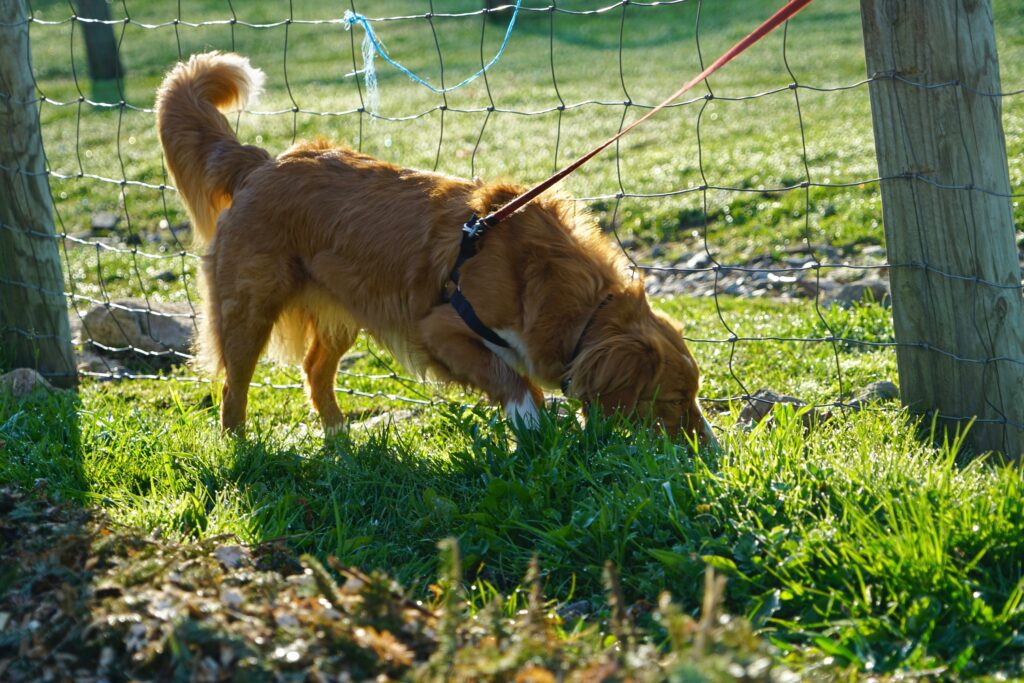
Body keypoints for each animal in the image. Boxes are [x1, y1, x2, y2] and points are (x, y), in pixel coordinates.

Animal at [155, 54, 716, 448]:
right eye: (672, 399)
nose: (710, 451)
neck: (574, 301)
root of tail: (263, 162)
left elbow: (518, 376)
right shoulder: (440, 328)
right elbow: (512, 381)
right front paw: (534, 429)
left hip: (344, 308)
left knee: (315, 371)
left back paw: (340, 437)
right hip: (249, 307)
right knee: (233, 386)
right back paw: (241, 446)